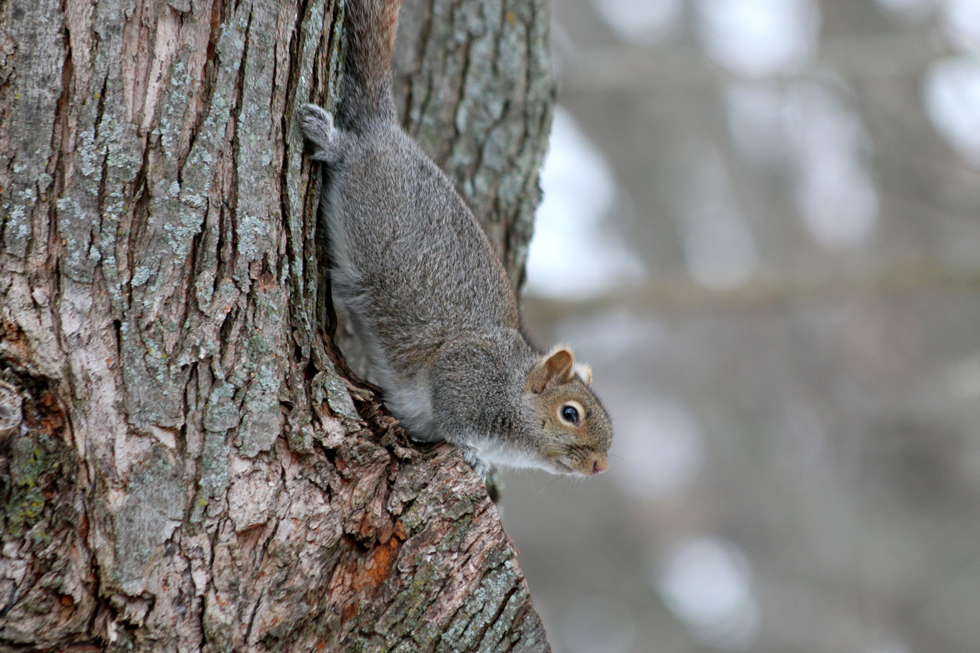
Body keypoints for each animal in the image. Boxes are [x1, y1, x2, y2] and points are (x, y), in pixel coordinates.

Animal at [298, 0, 612, 479]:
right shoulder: (463, 374)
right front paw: (471, 453)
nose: (600, 465)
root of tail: (388, 130)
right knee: (351, 150)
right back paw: (329, 136)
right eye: (570, 413)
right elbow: (453, 419)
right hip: (371, 192)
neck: (510, 387)